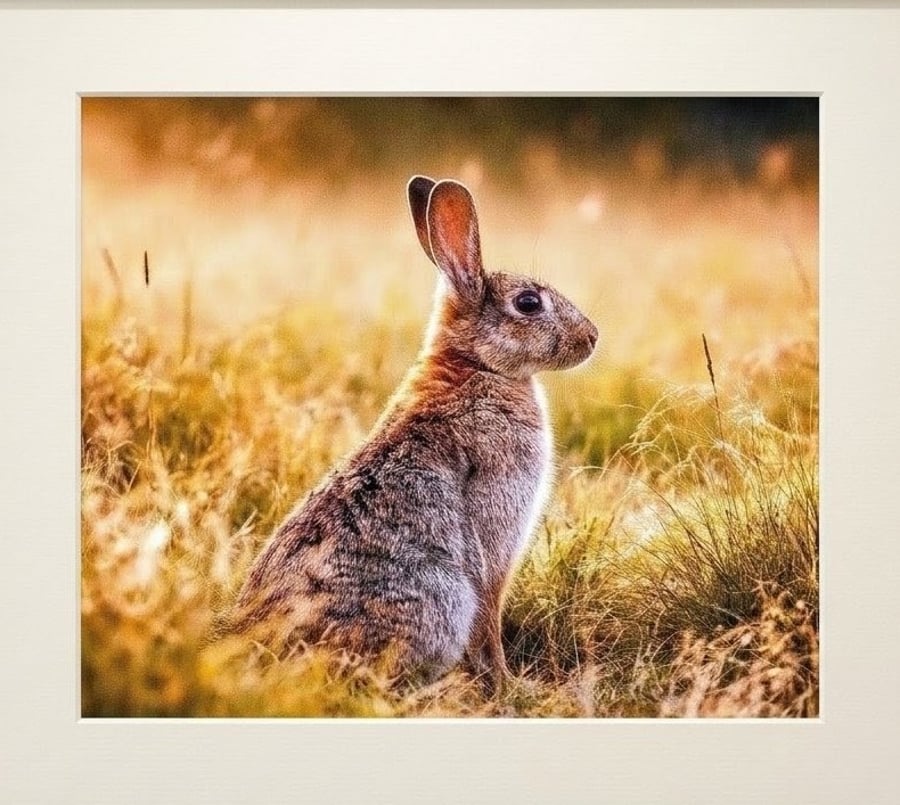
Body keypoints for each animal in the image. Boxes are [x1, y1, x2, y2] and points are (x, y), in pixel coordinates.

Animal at [229, 176, 598, 685]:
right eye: (528, 303)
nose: (593, 337)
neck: (476, 366)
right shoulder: (494, 544)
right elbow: (490, 616)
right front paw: (506, 682)